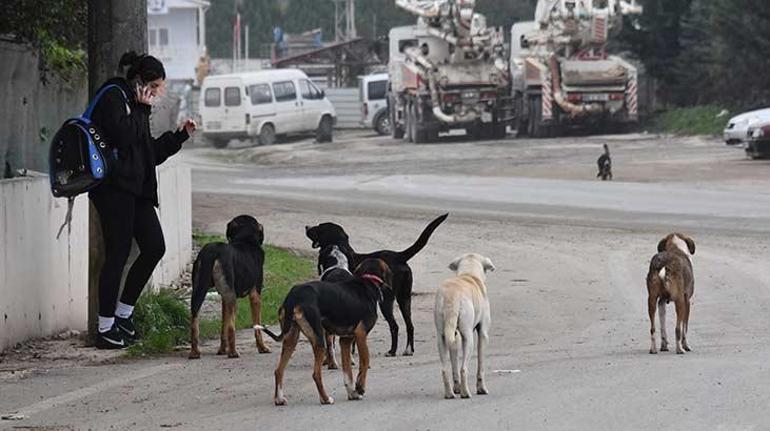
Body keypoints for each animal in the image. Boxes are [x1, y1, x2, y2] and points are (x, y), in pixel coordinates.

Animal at [188, 216, 270, 362]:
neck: (245, 239)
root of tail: (212, 252)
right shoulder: (255, 294)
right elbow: (257, 327)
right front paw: (262, 348)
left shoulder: (223, 299)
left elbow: (223, 327)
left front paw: (221, 350)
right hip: (231, 297)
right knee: (232, 328)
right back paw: (233, 352)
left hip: (198, 291)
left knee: (194, 322)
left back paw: (195, 352)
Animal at [256, 258, 390, 406]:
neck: (368, 281)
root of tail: (294, 296)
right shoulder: (361, 334)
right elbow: (365, 362)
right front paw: (360, 387)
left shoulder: (345, 340)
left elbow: (347, 372)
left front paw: (352, 393)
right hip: (319, 340)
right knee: (316, 374)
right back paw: (325, 399)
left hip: (291, 339)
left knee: (278, 371)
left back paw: (279, 399)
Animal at [304, 213, 448, 358]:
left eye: (319, 227)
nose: (306, 227)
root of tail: (399, 256)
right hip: (405, 298)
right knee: (410, 325)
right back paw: (408, 350)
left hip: (386, 301)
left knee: (394, 326)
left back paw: (392, 351)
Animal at [432, 253, 492, 402]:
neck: (469, 274)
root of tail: (451, 296)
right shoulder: (483, 334)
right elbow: (481, 365)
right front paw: (481, 389)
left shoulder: (454, 336)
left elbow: (454, 363)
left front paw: (456, 388)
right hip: (468, 338)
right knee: (463, 368)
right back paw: (466, 393)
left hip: (442, 336)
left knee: (445, 369)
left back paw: (450, 393)